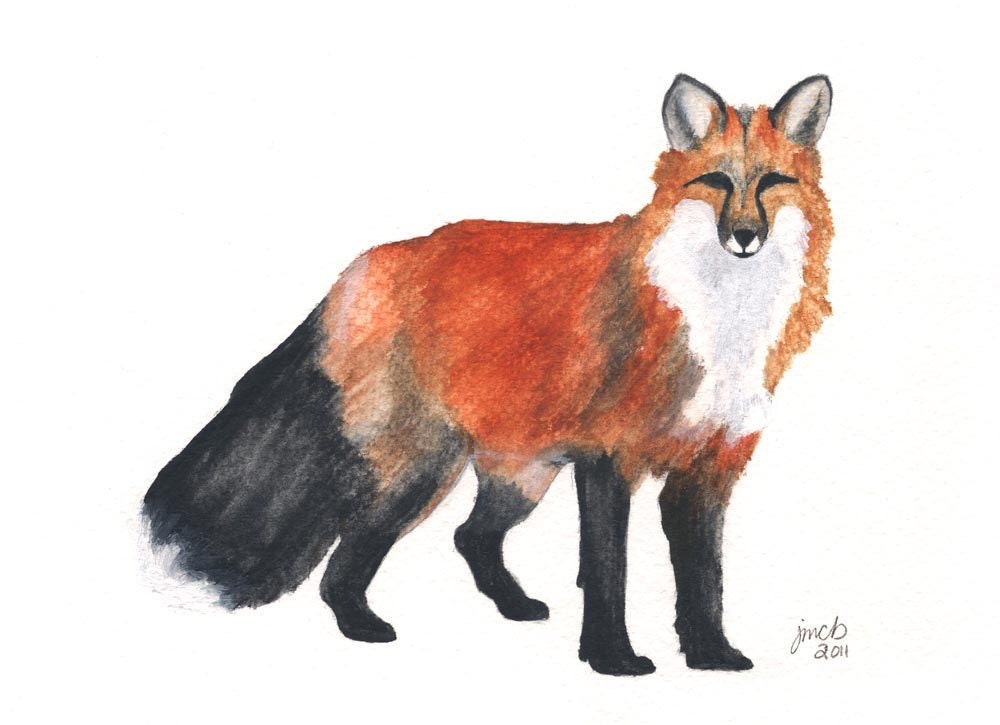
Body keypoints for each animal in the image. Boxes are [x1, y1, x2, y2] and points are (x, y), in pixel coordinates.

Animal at [143, 74, 833, 676]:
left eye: (773, 182)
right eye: (715, 181)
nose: (744, 236)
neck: (717, 322)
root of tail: (369, 263)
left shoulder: (708, 468)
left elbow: (703, 581)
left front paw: (712, 657)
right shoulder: (608, 458)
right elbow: (608, 572)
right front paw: (612, 660)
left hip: (520, 476)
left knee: (469, 537)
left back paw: (510, 606)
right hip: (421, 472)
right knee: (350, 553)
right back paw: (362, 627)